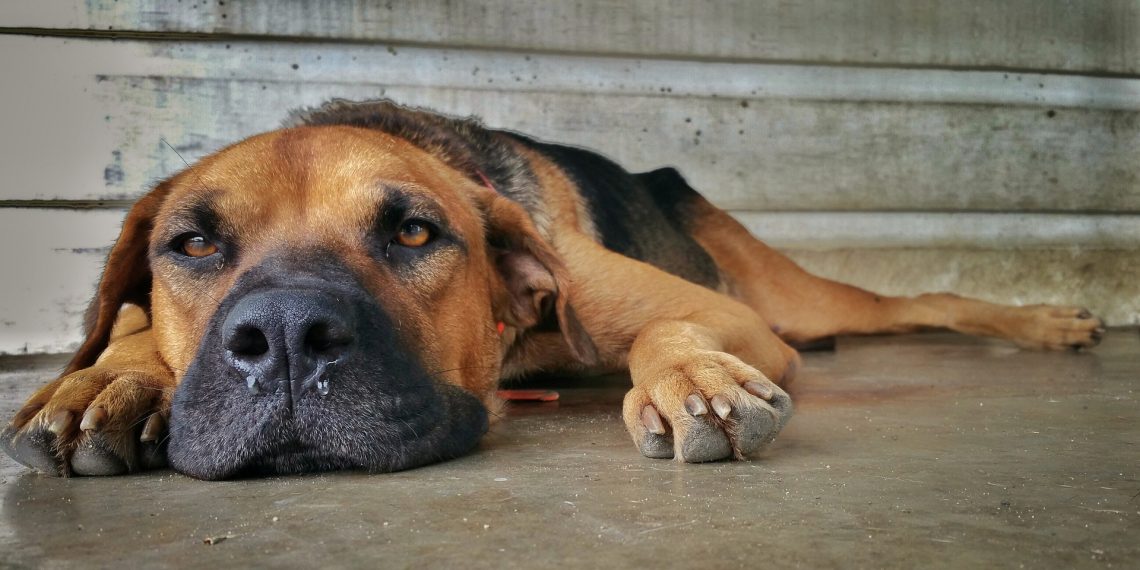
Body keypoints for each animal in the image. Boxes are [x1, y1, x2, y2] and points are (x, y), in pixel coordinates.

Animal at [0, 100, 1103, 478]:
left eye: (413, 231)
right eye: (192, 244)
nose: (283, 339)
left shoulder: (727, 314)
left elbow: (672, 336)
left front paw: (694, 380)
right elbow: (126, 332)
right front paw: (105, 379)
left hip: (790, 297)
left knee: (922, 303)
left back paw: (1051, 321)